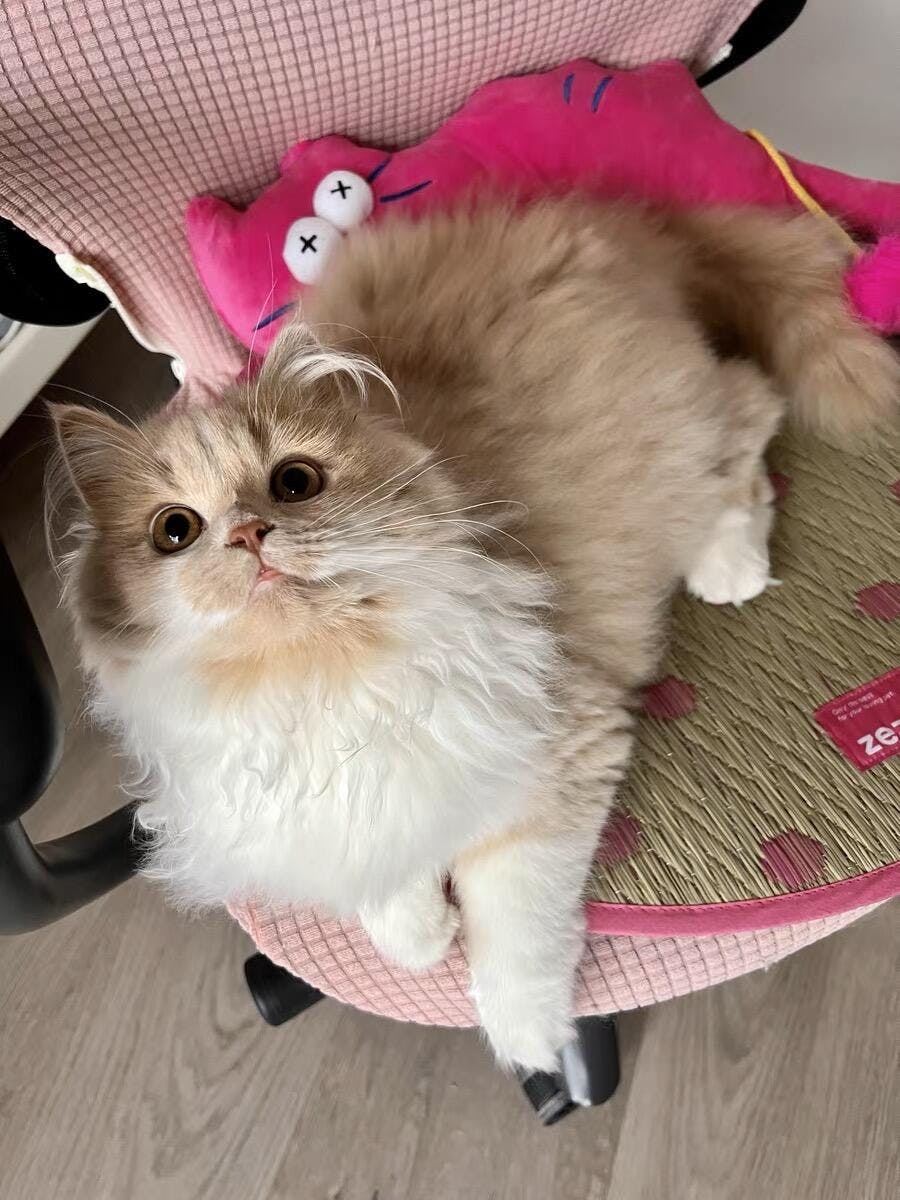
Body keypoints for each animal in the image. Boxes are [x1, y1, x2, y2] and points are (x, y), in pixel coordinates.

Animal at [51, 199, 898, 1072]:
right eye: (175, 530)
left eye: (294, 483)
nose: (250, 535)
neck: (316, 670)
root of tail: (620, 223)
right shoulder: (340, 805)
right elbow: (383, 880)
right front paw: (422, 936)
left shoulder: (548, 753)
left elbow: (515, 933)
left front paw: (530, 1041)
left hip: (683, 430)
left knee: (751, 418)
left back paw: (728, 568)